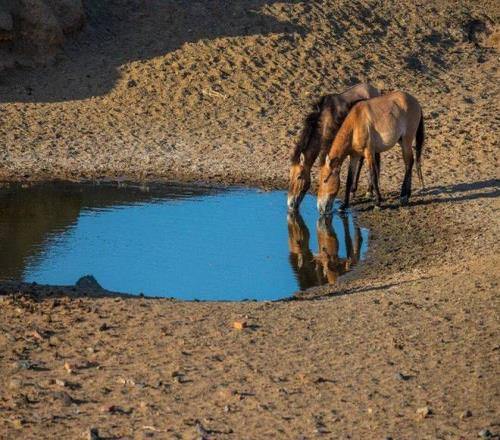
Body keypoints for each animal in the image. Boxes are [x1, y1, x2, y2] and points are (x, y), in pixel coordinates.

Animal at [287, 83, 380, 211]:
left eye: (299, 176)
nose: (290, 203)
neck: (325, 119)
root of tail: (374, 89)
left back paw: (369, 191)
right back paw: (355, 190)